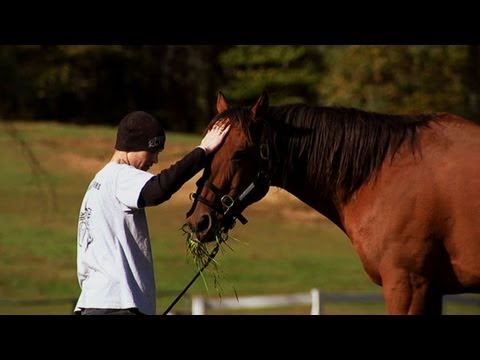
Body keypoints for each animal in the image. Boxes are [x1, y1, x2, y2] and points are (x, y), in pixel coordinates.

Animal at [186, 91, 480, 314]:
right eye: (208, 151)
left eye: (239, 154)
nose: (200, 221)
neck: (385, 172)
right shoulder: (431, 289)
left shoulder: (408, 285)